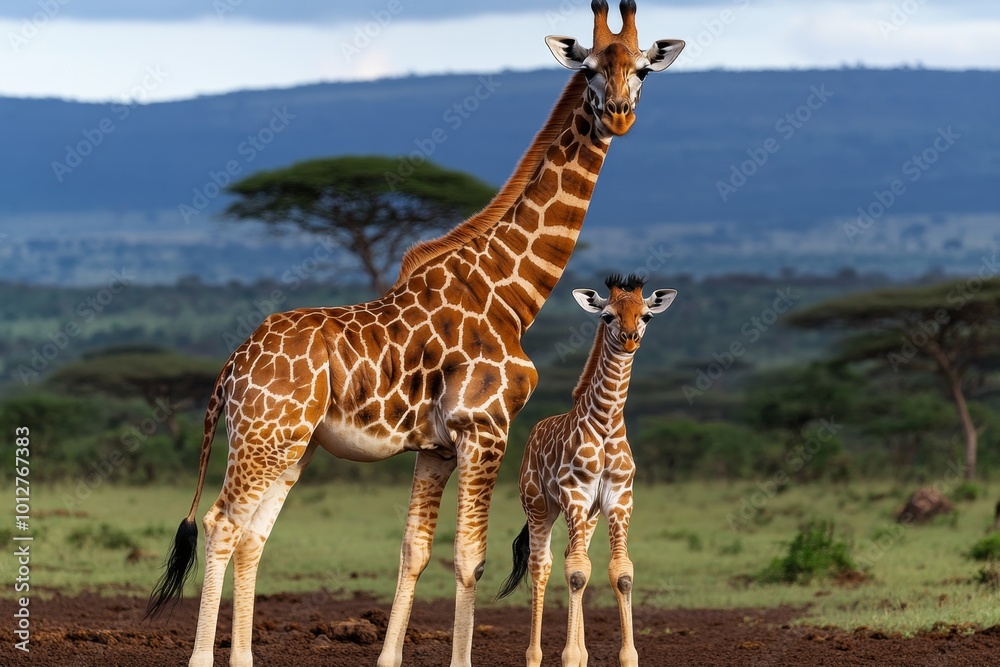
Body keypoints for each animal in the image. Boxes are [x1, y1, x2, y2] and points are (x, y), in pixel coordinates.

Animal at [496, 274, 677, 667]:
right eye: (607, 316)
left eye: (646, 316)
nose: (630, 339)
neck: (606, 422)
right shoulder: (574, 494)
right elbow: (578, 574)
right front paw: (566, 656)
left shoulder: (619, 499)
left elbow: (620, 573)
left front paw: (623, 656)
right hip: (539, 506)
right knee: (543, 565)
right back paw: (535, 656)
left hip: (588, 514)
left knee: (570, 557)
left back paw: (580, 654)